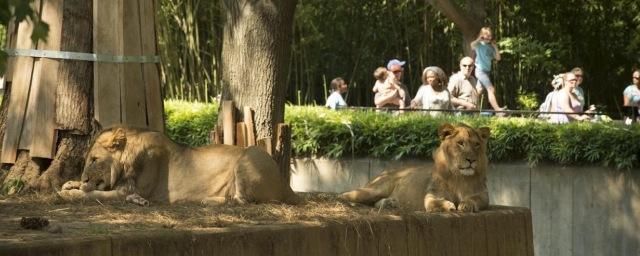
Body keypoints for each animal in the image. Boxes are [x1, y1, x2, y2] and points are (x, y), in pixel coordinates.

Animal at [60, 126, 300, 206]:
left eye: (94, 160)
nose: (85, 179)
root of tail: (287, 186)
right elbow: (90, 190)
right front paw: (70, 185)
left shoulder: (127, 191)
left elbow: (94, 195)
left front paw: (71, 194)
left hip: (250, 155)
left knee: (243, 200)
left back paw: (208, 200)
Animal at [342, 123, 488, 213]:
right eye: (460, 143)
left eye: (476, 145)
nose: (471, 160)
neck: (459, 177)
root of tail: (384, 171)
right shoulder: (432, 194)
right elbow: (434, 202)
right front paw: (447, 206)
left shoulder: (483, 194)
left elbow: (476, 199)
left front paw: (467, 204)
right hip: (375, 189)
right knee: (347, 195)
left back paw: (390, 203)